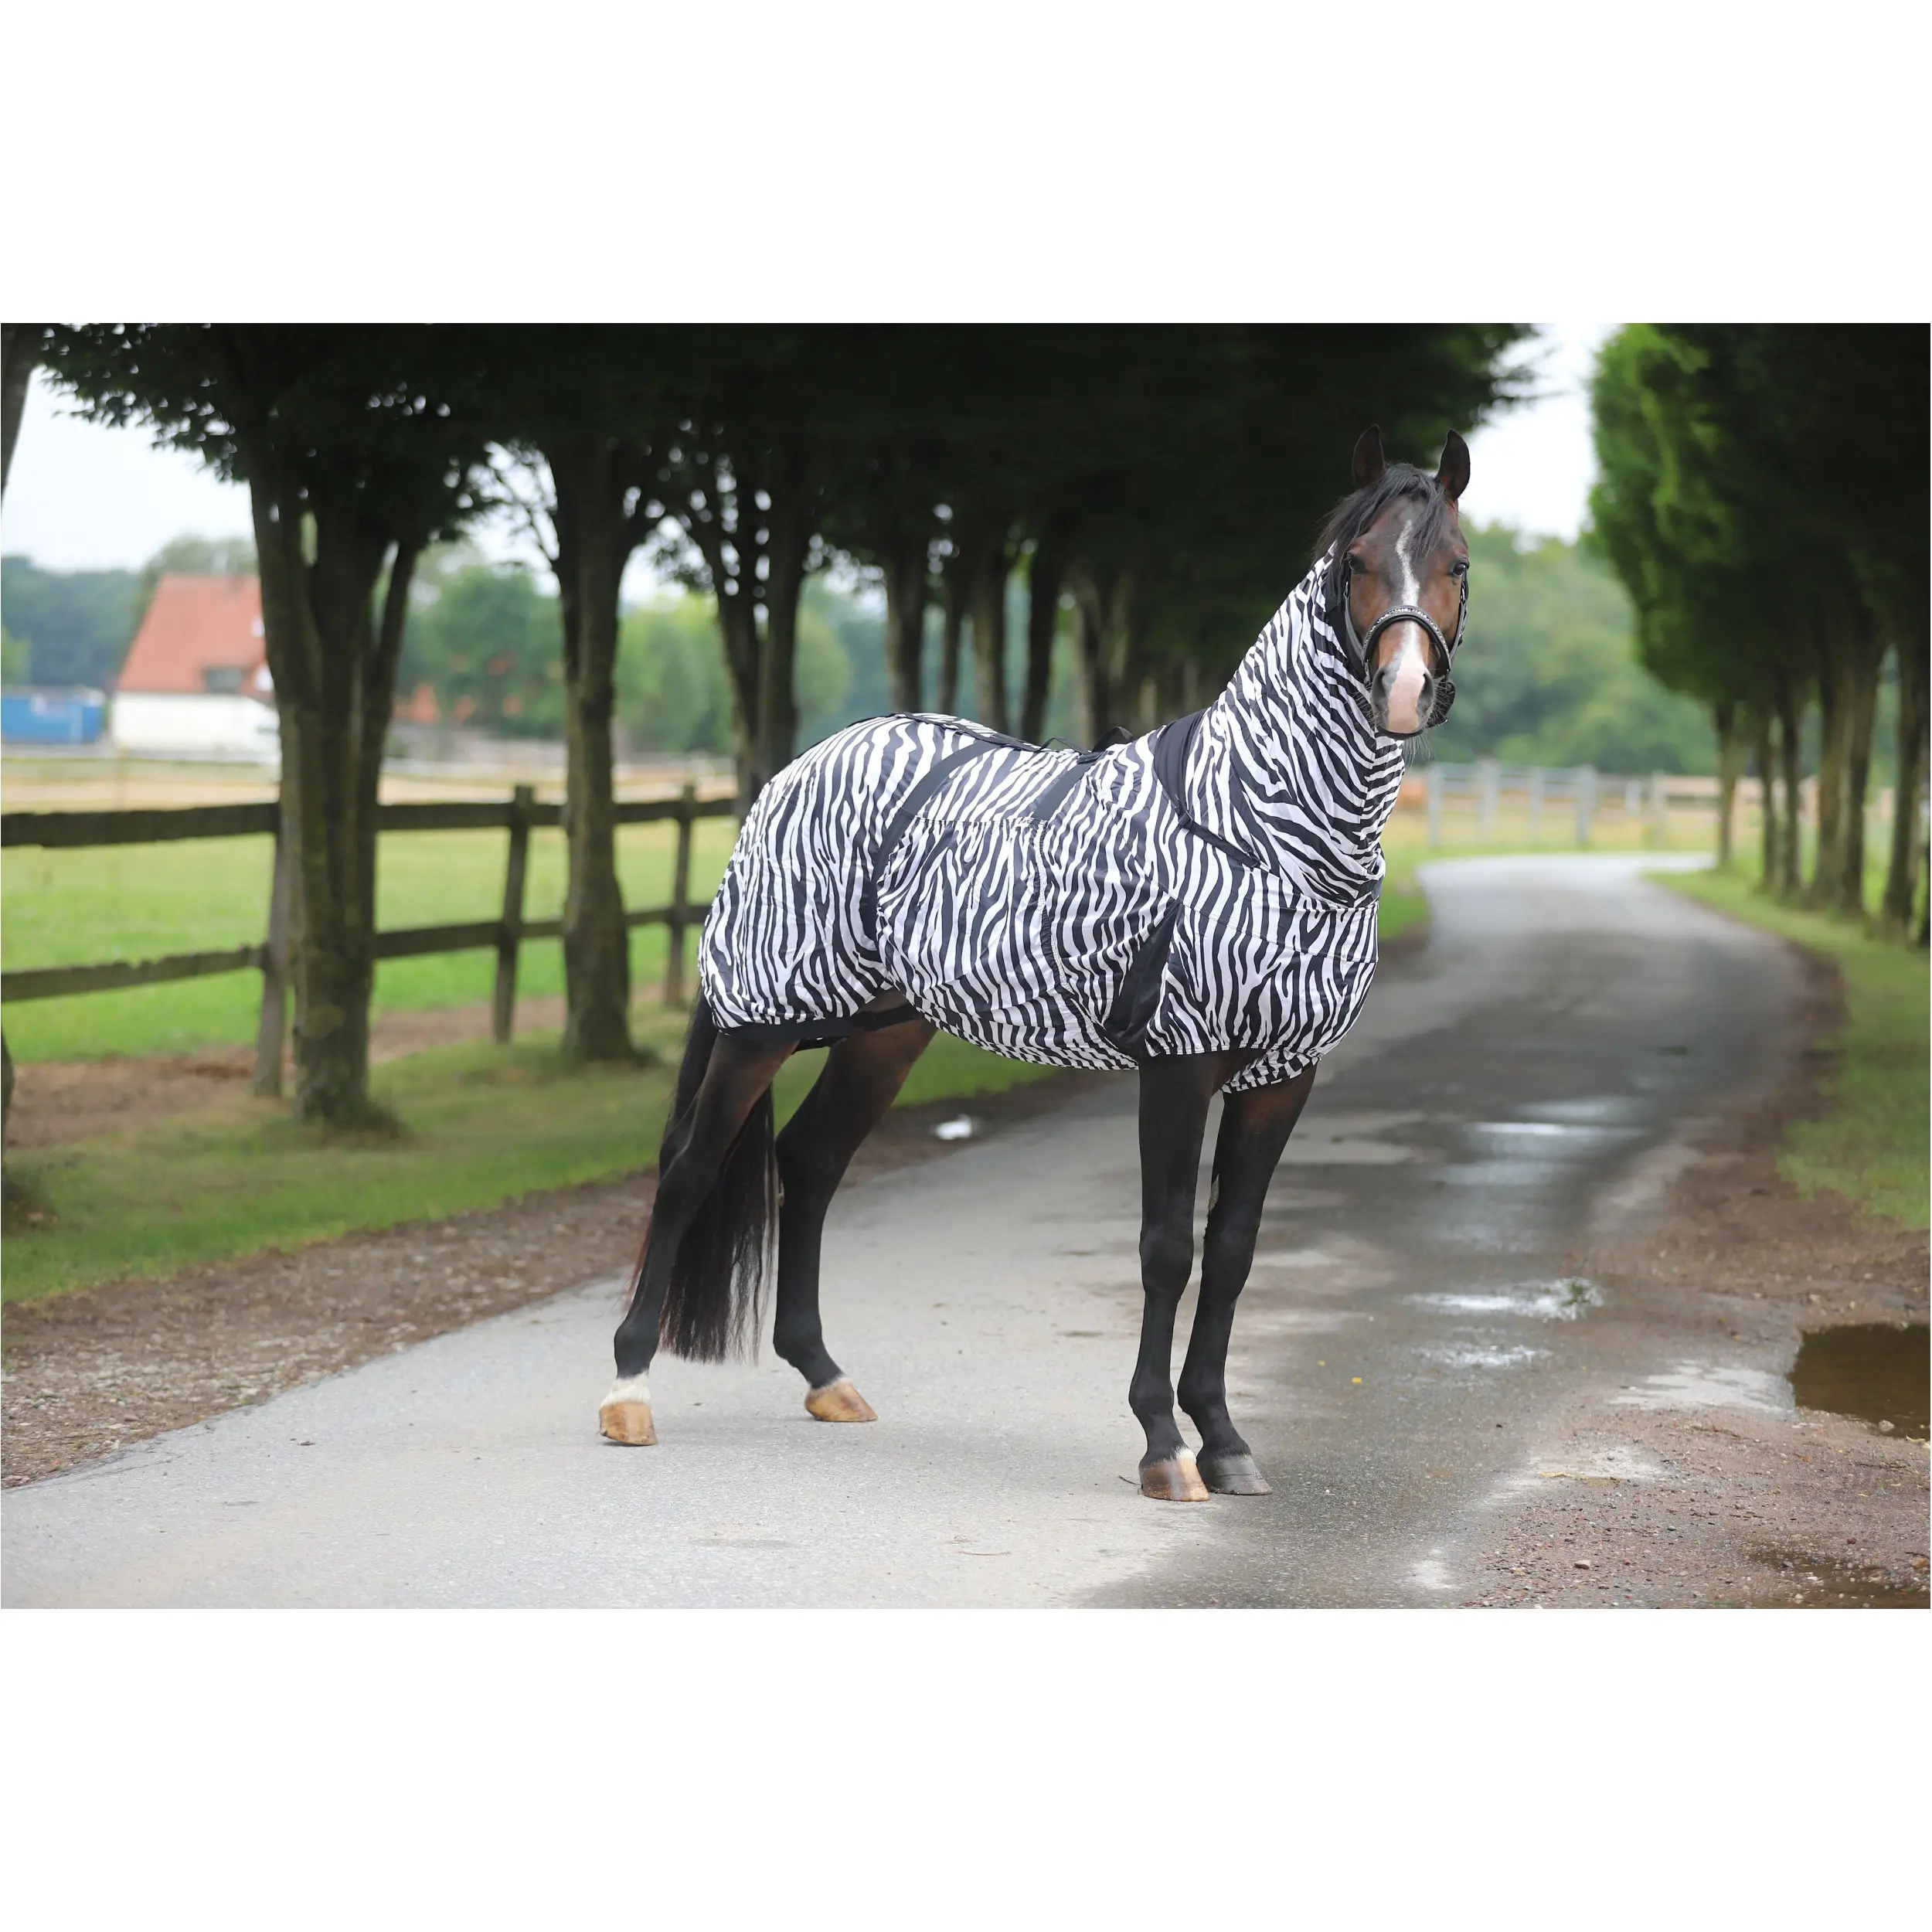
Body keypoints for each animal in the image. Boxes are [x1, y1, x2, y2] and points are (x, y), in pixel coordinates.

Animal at [601, 425, 1471, 1501]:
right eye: (1355, 563)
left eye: (1456, 566)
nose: (1402, 693)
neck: (1261, 827)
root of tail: (799, 768)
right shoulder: (1179, 1064)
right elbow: (1164, 1249)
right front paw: (1161, 1444)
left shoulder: (1284, 1075)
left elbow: (1231, 1251)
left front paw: (1224, 1439)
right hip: (761, 1021)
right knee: (690, 1165)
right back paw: (629, 1388)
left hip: (886, 1034)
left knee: (808, 1163)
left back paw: (826, 1376)